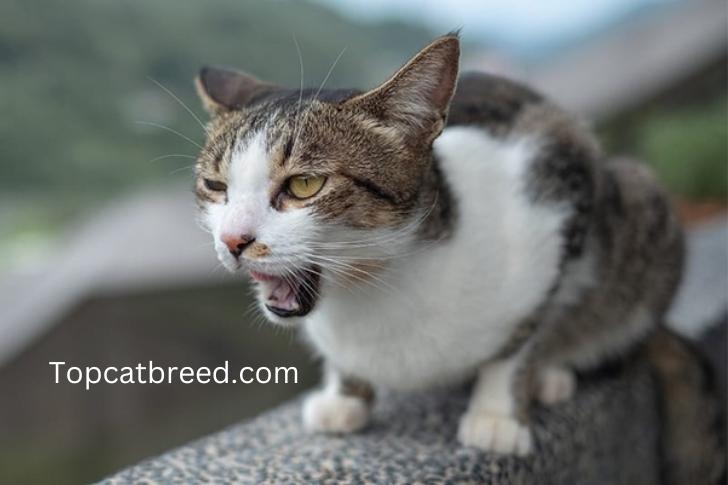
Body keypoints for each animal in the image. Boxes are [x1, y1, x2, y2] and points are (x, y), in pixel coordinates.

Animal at [191, 32, 712, 464]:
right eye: (215, 186)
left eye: (305, 184)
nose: (233, 240)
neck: (376, 290)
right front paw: (345, 397)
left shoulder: (560, 180)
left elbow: (521, 339)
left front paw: (498, 414)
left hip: (639, 199)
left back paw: (552, 372)